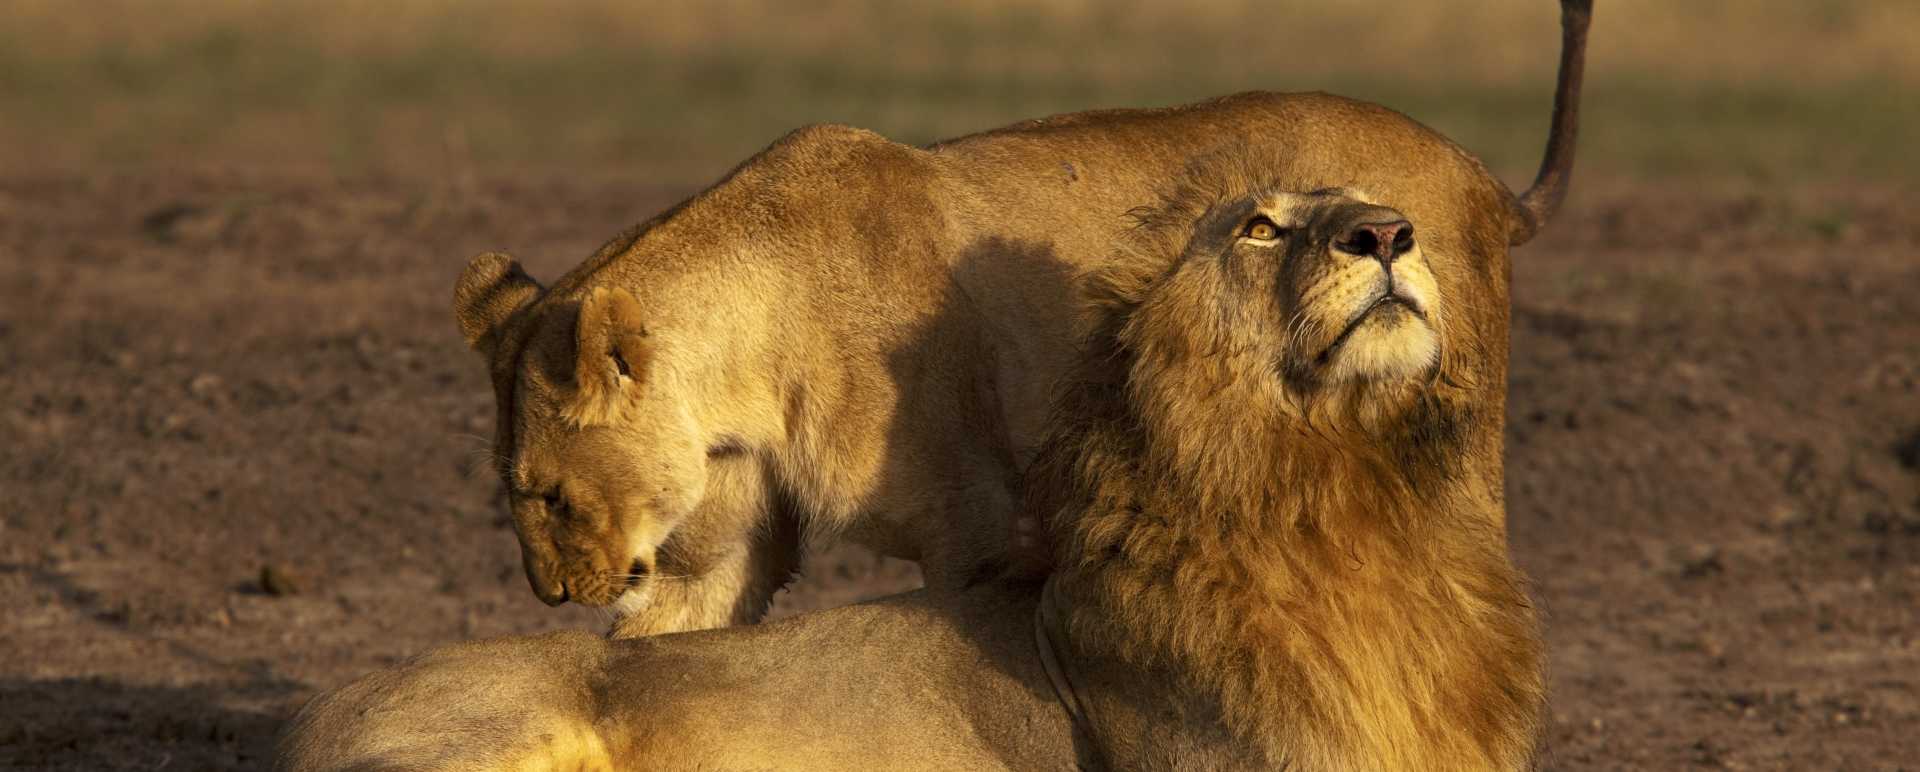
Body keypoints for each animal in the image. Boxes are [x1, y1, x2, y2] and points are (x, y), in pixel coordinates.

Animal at [278, 0, 1589, 751]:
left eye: (543, 494)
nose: (552, 594)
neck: (750, 360)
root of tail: (1477, 173)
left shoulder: (984, 531)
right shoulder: (720, 554)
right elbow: (664, 656)